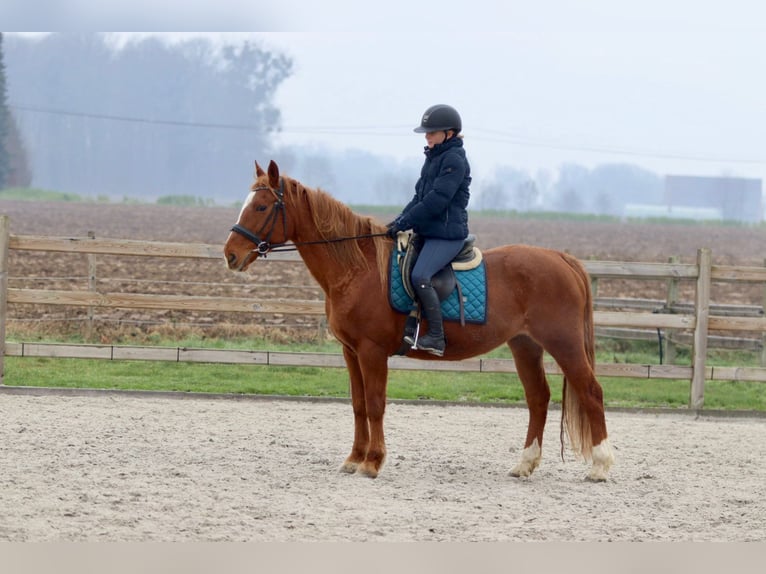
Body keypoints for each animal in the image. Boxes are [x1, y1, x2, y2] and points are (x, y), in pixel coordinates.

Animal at [224, 160, 614, 482]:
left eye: (261, 206)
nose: (230, 255)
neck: (358, 269)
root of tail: (562, 259)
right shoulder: (351, 352)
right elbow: (358, 405)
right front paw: (354, 458)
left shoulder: (371, 352)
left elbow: (376, 404)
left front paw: (372, 462)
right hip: (525, 345)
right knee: (538, 398)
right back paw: (524, 464)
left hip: (563, 344)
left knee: (591, 391)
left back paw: (599, 465)